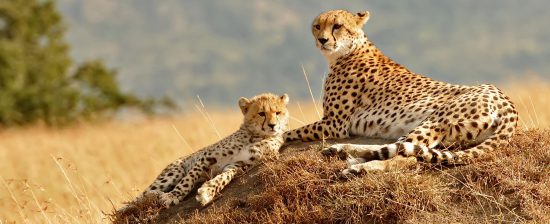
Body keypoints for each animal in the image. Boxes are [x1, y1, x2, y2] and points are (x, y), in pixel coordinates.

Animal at [286, 9, 520, 174]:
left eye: (337, 26)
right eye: (317, 26)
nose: (322, 40)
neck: (348, 51)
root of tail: (507, 101)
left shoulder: (334, 124)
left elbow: (289, 131)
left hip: (435, 121)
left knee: (405, 156)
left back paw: (359, 166)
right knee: (398, 148)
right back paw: (343, 151)